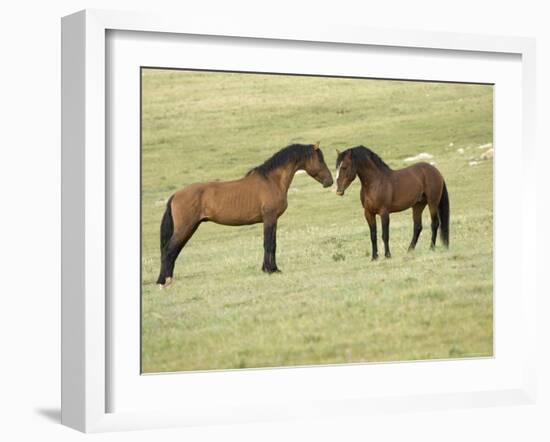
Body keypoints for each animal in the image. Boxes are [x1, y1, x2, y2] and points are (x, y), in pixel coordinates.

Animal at [157, 142, 334, 286]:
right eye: (320, 160)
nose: (330, 181)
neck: (271, 181)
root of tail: (175, 195)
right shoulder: (269, 218)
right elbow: (269, 244)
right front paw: (270, 270)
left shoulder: (272, 220)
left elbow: (272, 243)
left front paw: (272, 268)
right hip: (185, 227)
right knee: (169, 250)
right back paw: (163, 281)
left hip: (190, 227)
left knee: (174, 250)